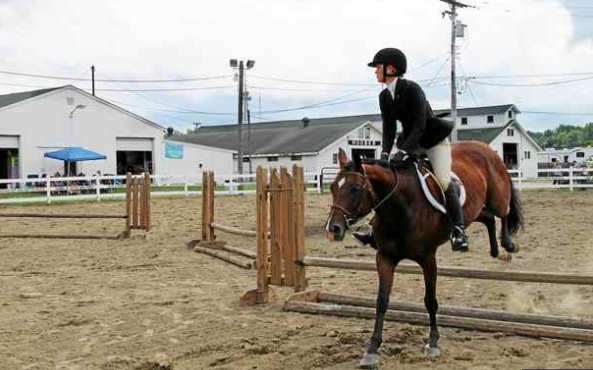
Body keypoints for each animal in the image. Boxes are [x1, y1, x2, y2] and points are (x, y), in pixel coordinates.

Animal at [324, 140, 524, 368]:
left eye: (355, 189)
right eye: (332, 187)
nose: (333, 229)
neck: (399, 208)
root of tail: (485, 147)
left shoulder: (428, 258)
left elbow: (430, 300)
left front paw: (433, 343)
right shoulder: (385, 258)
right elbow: (382, 301)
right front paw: (372, 349)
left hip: (497, 195)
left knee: (503, 211)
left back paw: (508, 246)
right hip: (474, 209)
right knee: (488, 217)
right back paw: (495, 251)